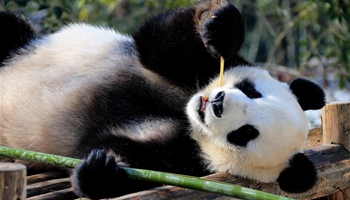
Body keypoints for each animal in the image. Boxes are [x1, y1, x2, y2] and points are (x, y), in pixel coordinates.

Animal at [0, 0, 326, 199]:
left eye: (245, 133)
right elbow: (159, 42)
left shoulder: (185, 160)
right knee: (10, 29)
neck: (183, 112)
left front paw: (101, 171)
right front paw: (221, 27)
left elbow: (126, 154)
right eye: (251, 90)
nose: (217, 102)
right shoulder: (184, 72)